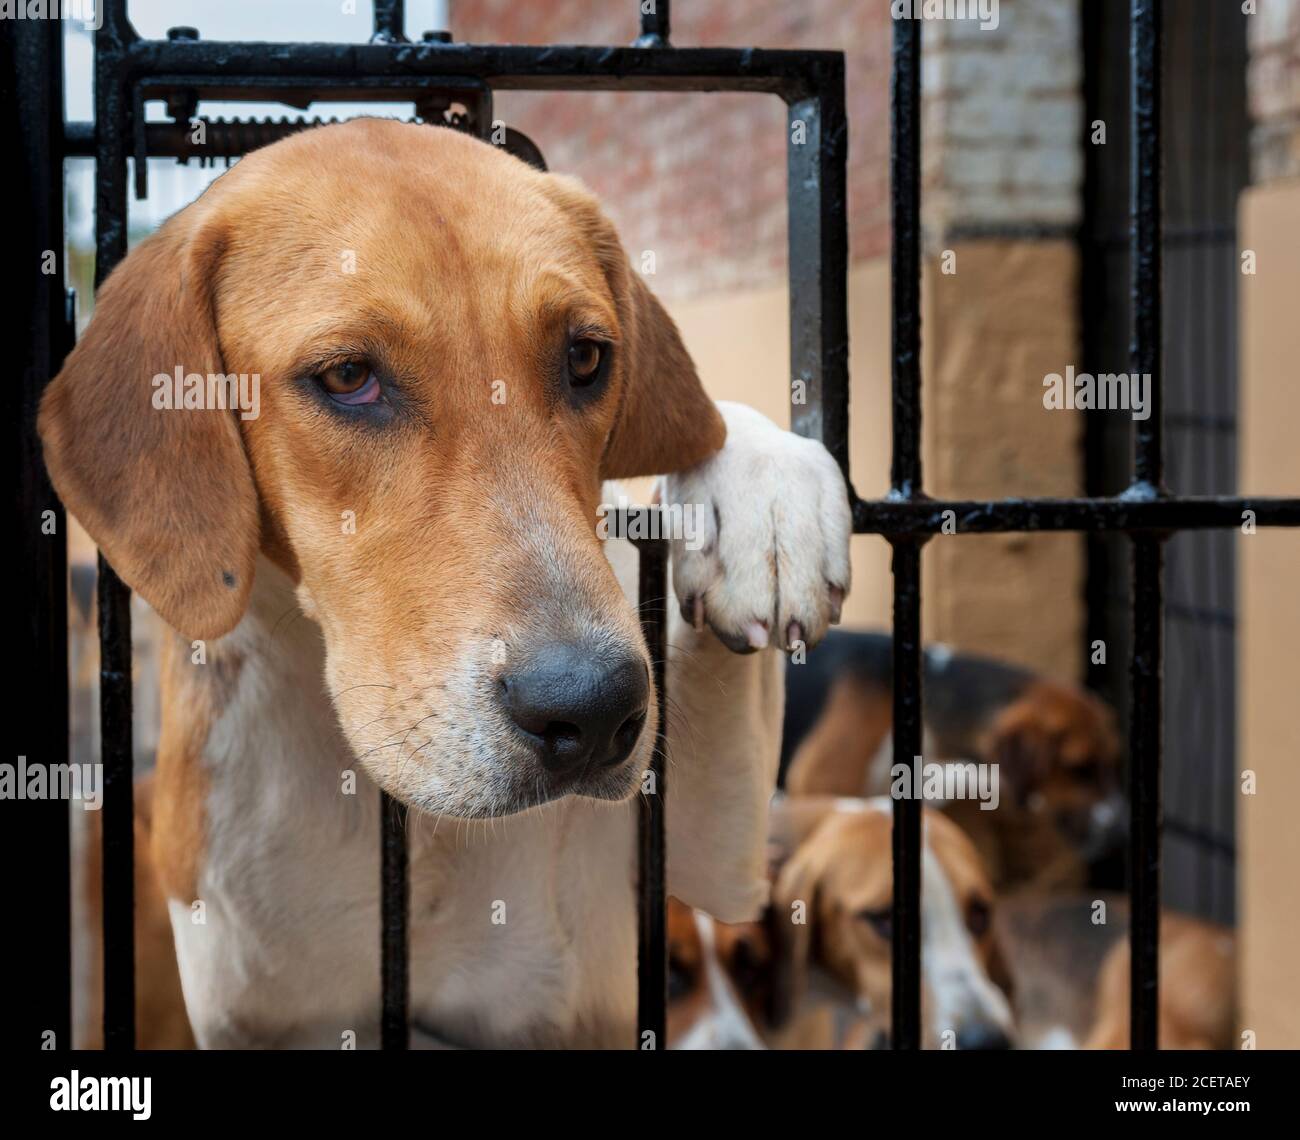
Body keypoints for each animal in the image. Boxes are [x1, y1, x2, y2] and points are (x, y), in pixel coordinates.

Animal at [40, 117, 852, 1050]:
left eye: (585, 356)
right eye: (348, 378)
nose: (594, 708)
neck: (416, 829)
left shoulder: (706, 871)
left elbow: (713, 431)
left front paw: (767, 493)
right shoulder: (254, 1003)